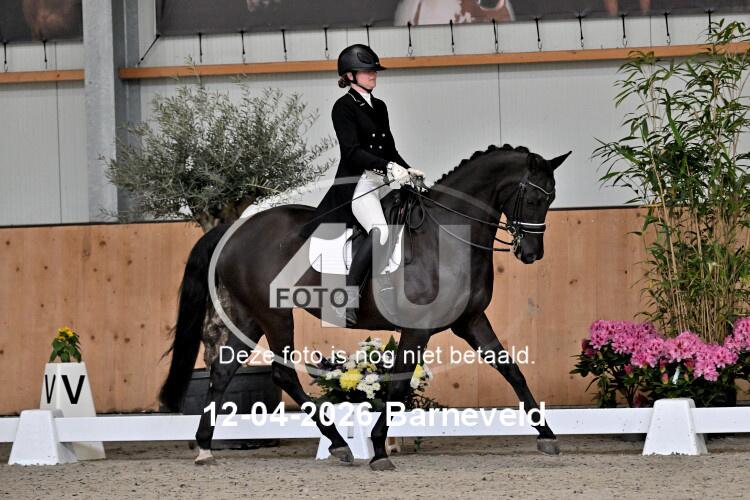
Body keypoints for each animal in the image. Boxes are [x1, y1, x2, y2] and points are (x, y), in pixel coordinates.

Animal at [158, 143, 570, 470]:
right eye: (534, 199)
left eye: (550, 200)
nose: (531, 254)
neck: (448, 237)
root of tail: (234, 231)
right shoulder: (417, 328)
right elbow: (399, 386)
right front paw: (378, 449)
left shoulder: (470, 320)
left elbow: (512, 370)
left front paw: (547, 436)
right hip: (274, 314)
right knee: (281, 375)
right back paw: (339, 443)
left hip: (249, 316)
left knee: (223, 371)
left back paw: (206, 448)